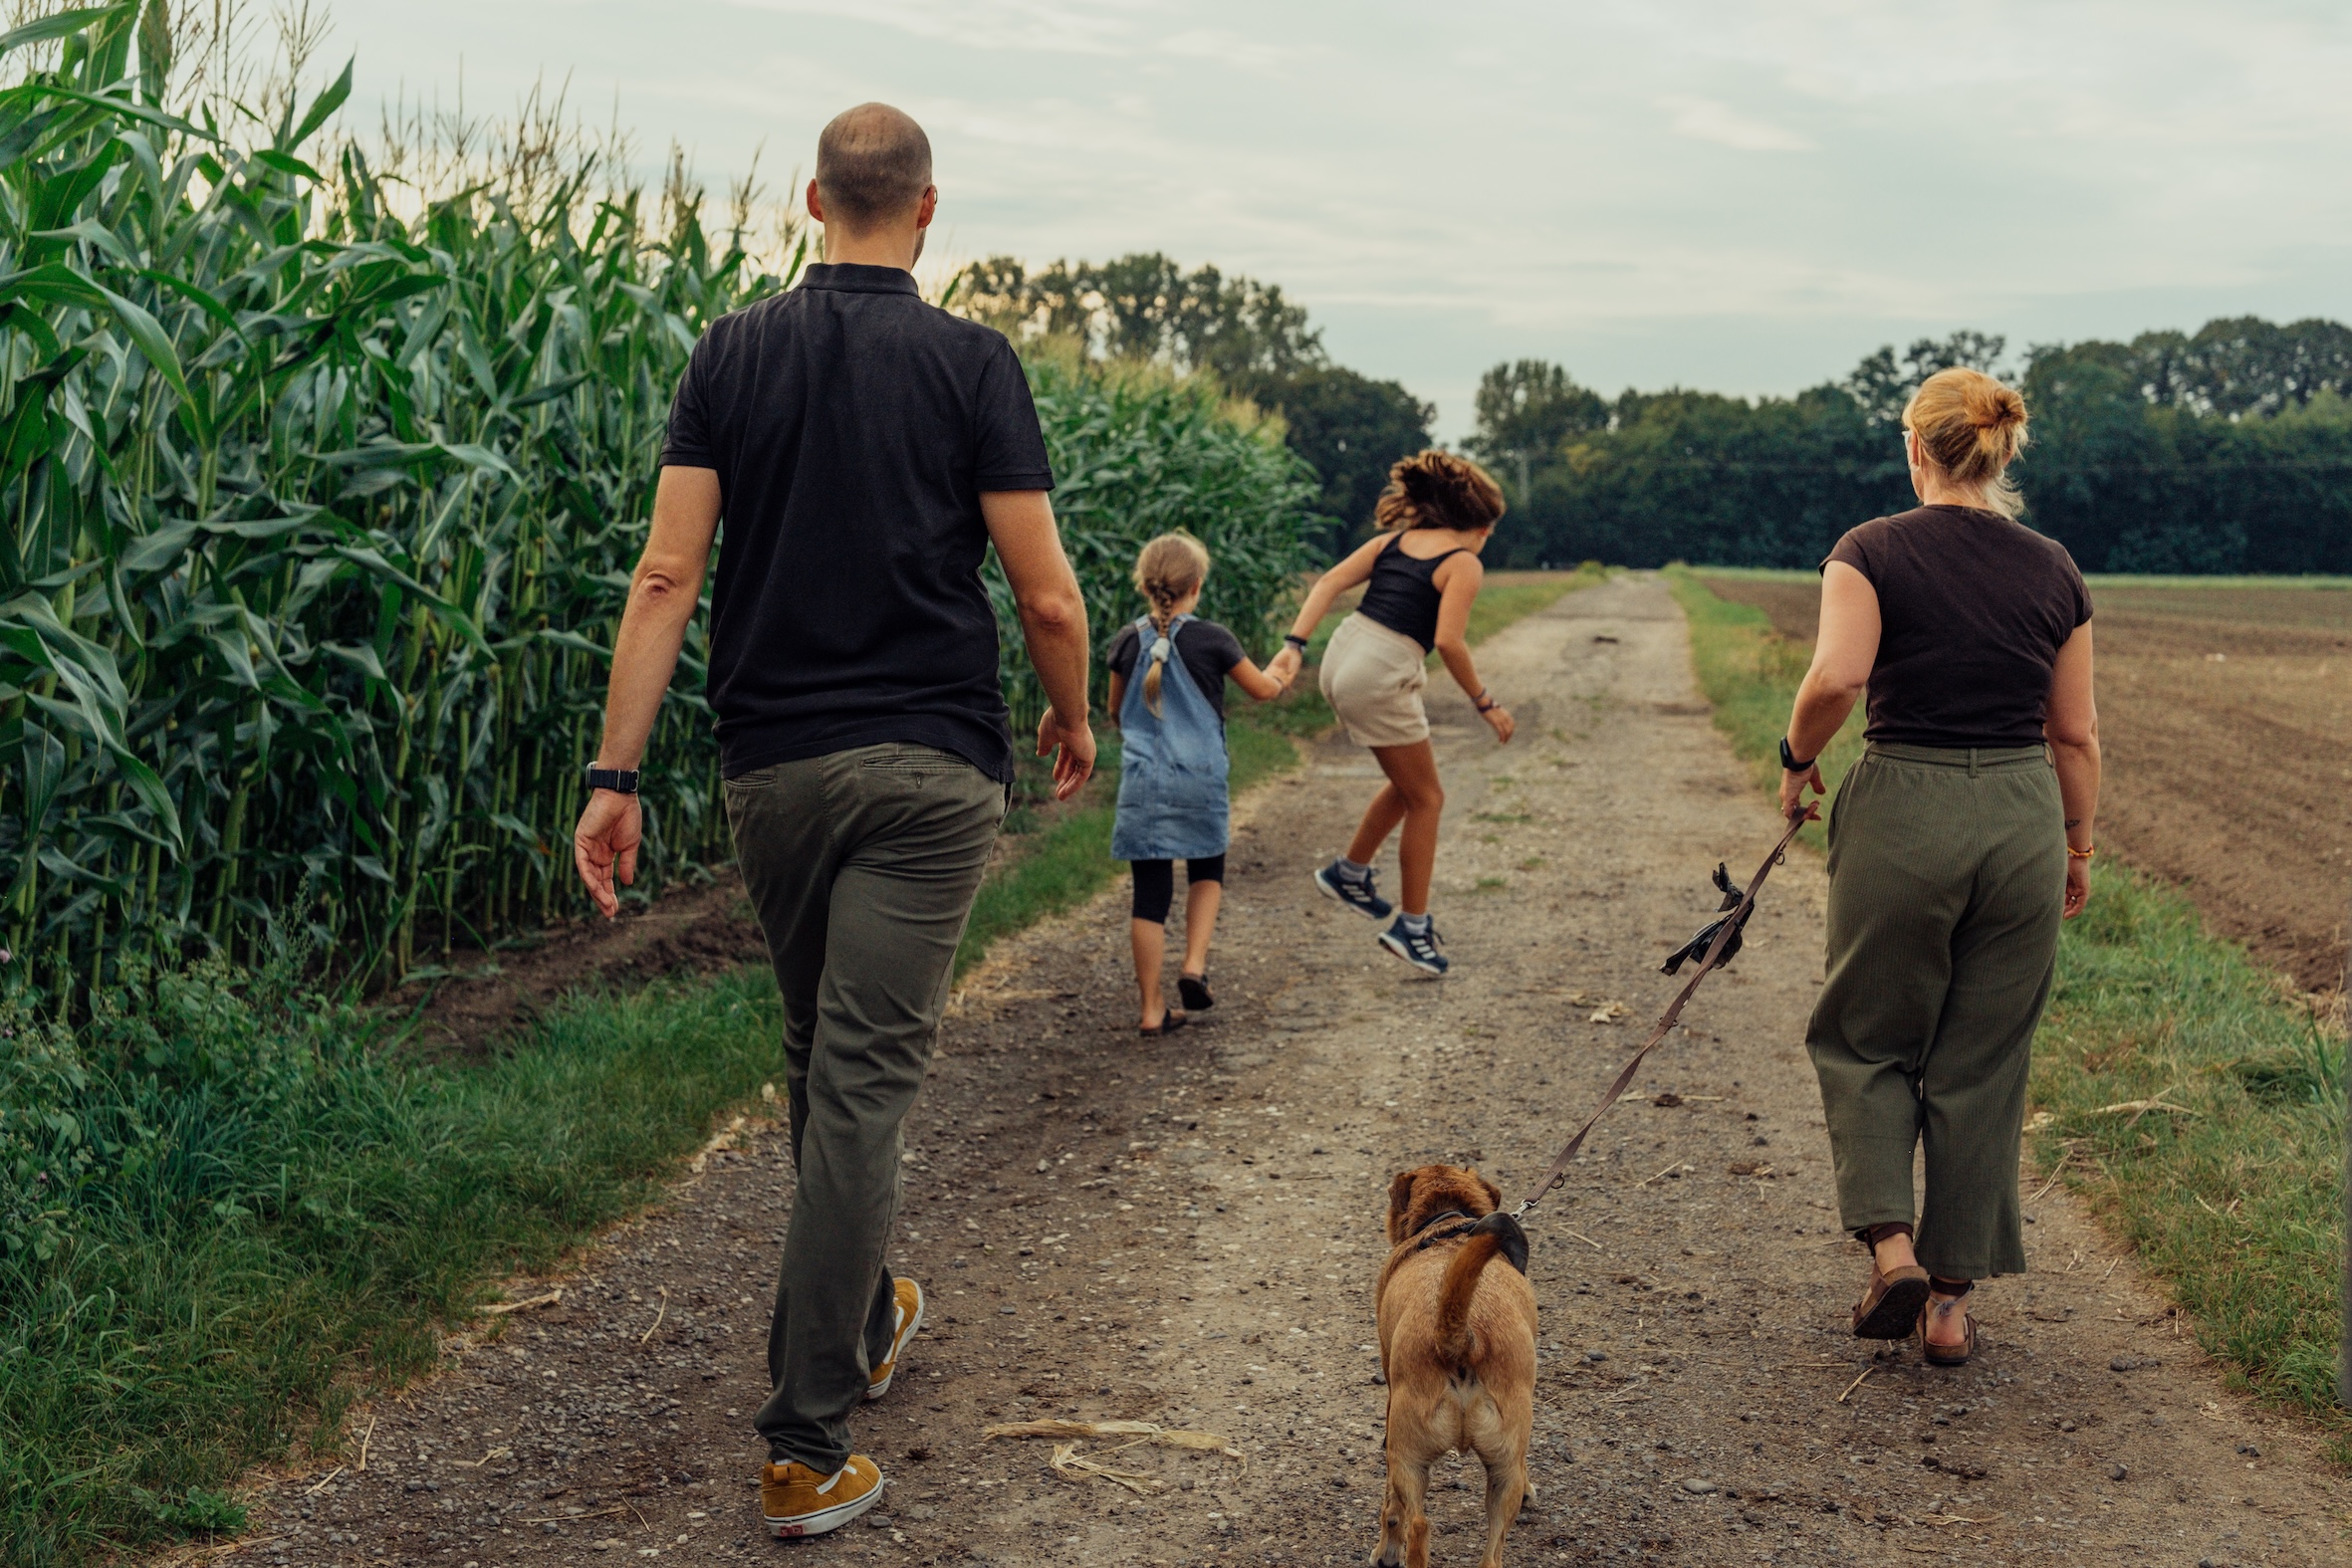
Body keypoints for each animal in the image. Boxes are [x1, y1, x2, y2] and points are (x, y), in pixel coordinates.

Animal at [1373, 1166, 1533, 1568]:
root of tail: (1463, 1339)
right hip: (1502, 1472)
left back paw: (1393, 1551)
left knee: (1413, 1522)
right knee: (1491, 1551)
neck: (1448, 1225)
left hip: (1408, 1459)